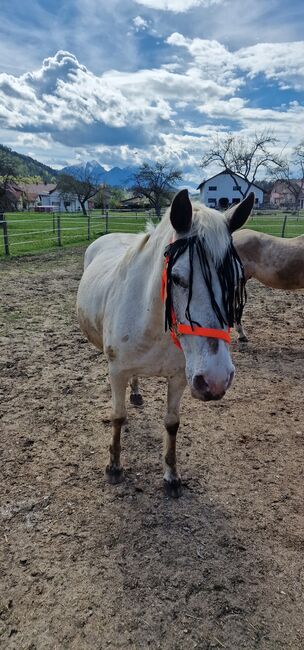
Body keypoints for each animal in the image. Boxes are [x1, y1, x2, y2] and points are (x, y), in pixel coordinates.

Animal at [76, 190, 254, 494]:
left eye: (236, 279)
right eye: (177, 278)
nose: (216, 379)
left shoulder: (180, 377)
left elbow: (172, 423)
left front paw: (171, 476)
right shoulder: (117, 371)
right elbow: (118, 416)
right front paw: (114, 467)